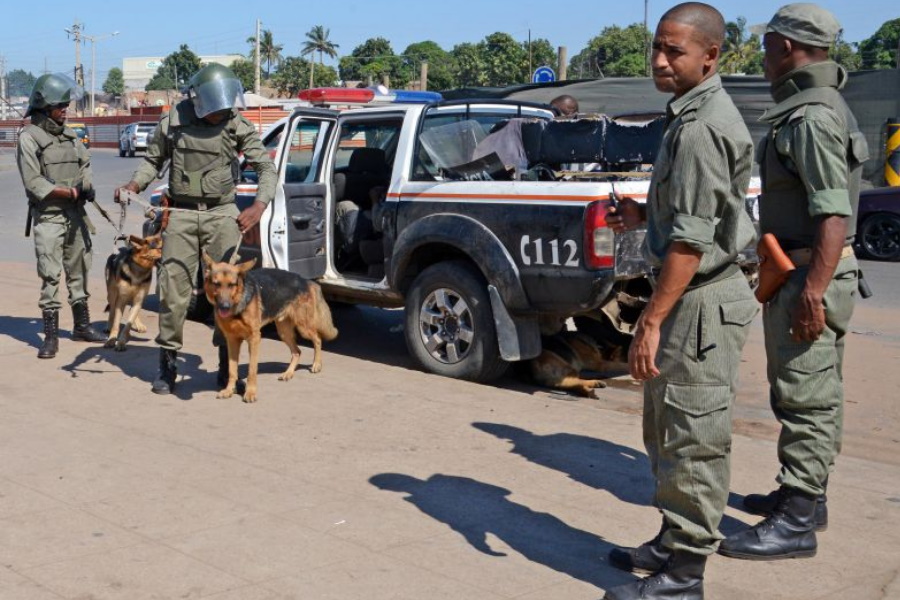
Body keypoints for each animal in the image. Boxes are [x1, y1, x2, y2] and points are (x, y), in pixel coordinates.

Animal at [202, 253, 340, 404]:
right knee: (297, 351)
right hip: (283, 332)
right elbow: (232, 369)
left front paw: (250, 393)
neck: (237, 306)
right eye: (216, 284)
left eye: (232, 285)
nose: (225, 306)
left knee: (317, 339)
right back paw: (288, 373)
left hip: (303, 327)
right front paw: (229, 390)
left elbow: (252, 370)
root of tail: (306, 281)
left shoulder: (254, 339)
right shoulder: (232, 341)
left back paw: (316, 364)